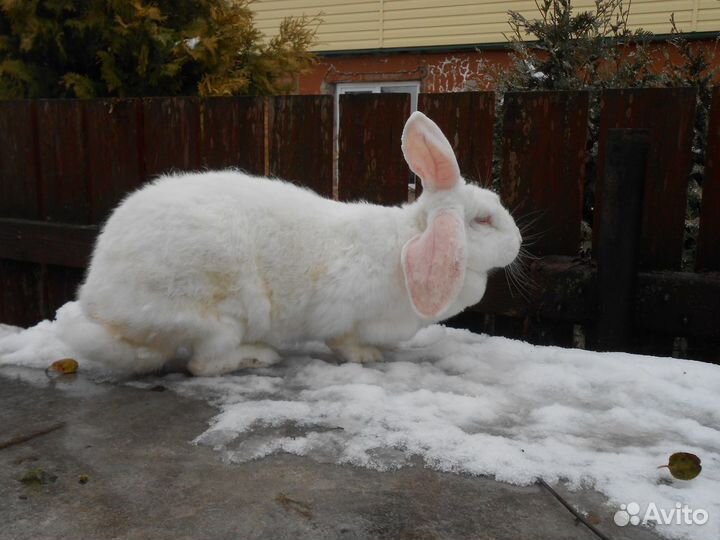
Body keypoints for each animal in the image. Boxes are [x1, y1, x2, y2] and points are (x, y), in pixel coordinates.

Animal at [56, 113, 516, 376]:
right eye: (483, 220)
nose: (517, 242)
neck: (409, 242)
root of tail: (101, 304)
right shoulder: (341, 310)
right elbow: (343, 340)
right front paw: (366, 356)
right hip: (217, 313)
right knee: (203, 363)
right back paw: (258, 356)